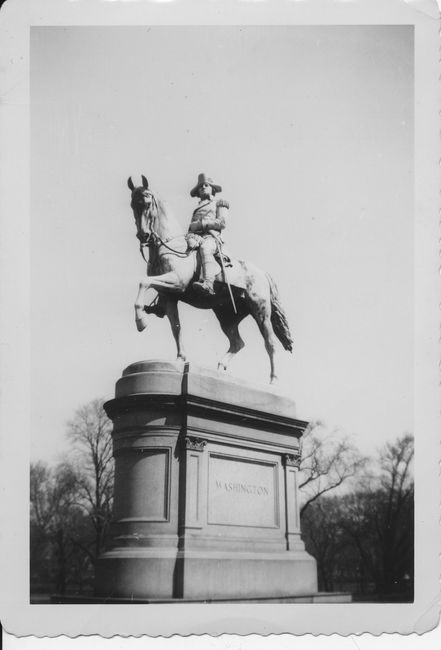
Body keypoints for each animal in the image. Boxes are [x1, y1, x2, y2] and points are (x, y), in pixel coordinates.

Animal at [127, 175, 292, 382]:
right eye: (133, 205)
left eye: (148, 202)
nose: (144, 235)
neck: (170, 246)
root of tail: (262, 273)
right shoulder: (169, 296)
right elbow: (176, 327)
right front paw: (180, 358)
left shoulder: (176, 282)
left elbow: (143, 282)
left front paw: (141, 321)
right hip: (226, 316)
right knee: (237, 343)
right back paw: (220, 370)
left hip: (260, 311)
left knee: (269, 343)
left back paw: (273, 380)